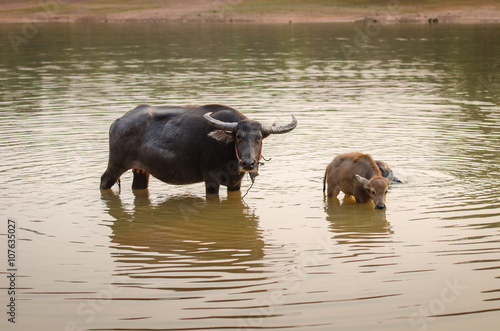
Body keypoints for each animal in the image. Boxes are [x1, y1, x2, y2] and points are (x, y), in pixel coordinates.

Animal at [101, 104, 296, 195]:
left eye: (259, 138)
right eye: (238, 136)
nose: (248, 163)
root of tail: (118, 121)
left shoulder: (235, 184)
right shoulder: (210, 180)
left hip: (141, 171)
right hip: (115, 166)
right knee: (104, 181)